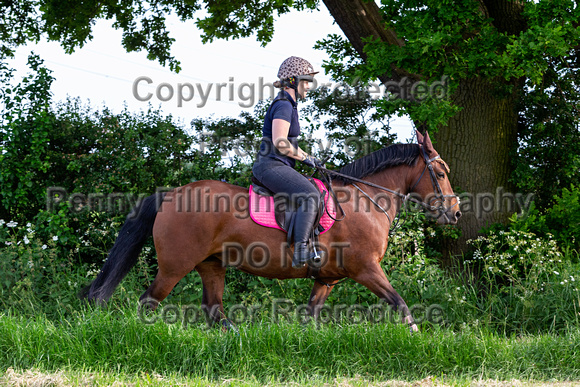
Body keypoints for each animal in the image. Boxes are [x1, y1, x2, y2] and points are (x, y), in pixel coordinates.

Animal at [82, 132, 462, 332]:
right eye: (442, 173)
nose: (456, 213)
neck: (365, 201)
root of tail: (171, 193)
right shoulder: (366, 269)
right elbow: (400, 302)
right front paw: (417, 336)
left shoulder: (327, 280)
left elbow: (310, 316)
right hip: (175, 266)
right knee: (148, 301)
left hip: (211, 265)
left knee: (214, 309)